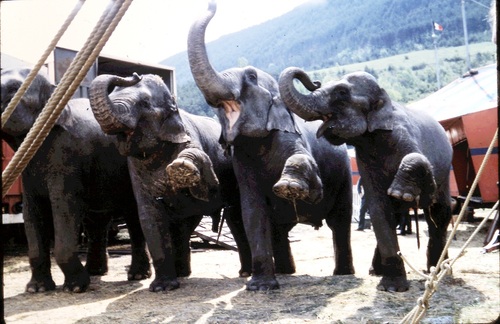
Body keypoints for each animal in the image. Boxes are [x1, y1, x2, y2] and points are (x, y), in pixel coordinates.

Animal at [0, 69, 151, 294]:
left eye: (14, 90)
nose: (136, 75)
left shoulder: (66, 158)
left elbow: (64, 208)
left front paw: (76, 288)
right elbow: (32, 212)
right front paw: (37, 289)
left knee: (133, 215)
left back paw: (137, 275)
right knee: (96, 220)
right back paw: (96, 272)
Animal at [88, 72, 252, 292]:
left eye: (145, 103)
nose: (134, 74)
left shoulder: (190, 138)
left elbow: (205, 189)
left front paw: (182, 168)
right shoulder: (134, 168)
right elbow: (150, 215)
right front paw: (162, 288)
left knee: (235, 218)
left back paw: (245, 273)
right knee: (185, 225)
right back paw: (182, 273)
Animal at [188, 0, 356, 292]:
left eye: (251, 76)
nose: (212, 4)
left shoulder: (290, 135)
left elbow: (305, 165)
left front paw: (288, 186)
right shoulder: (241, 160)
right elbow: (252, 209)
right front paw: (259, 287)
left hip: (345, 175)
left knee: (341, 222)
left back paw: (342, 274)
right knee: (281, 228)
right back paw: (286, 272)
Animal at [280, 67, 456, 292]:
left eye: (342, 92)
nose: (315, 81)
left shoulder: (404, 135)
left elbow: (421, 163)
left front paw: (401, 192)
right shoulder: (365, 160)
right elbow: (379, 208)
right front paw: (391, 287)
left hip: (447, 171)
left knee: (440, 213)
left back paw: (439, 272)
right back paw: (378, 271)